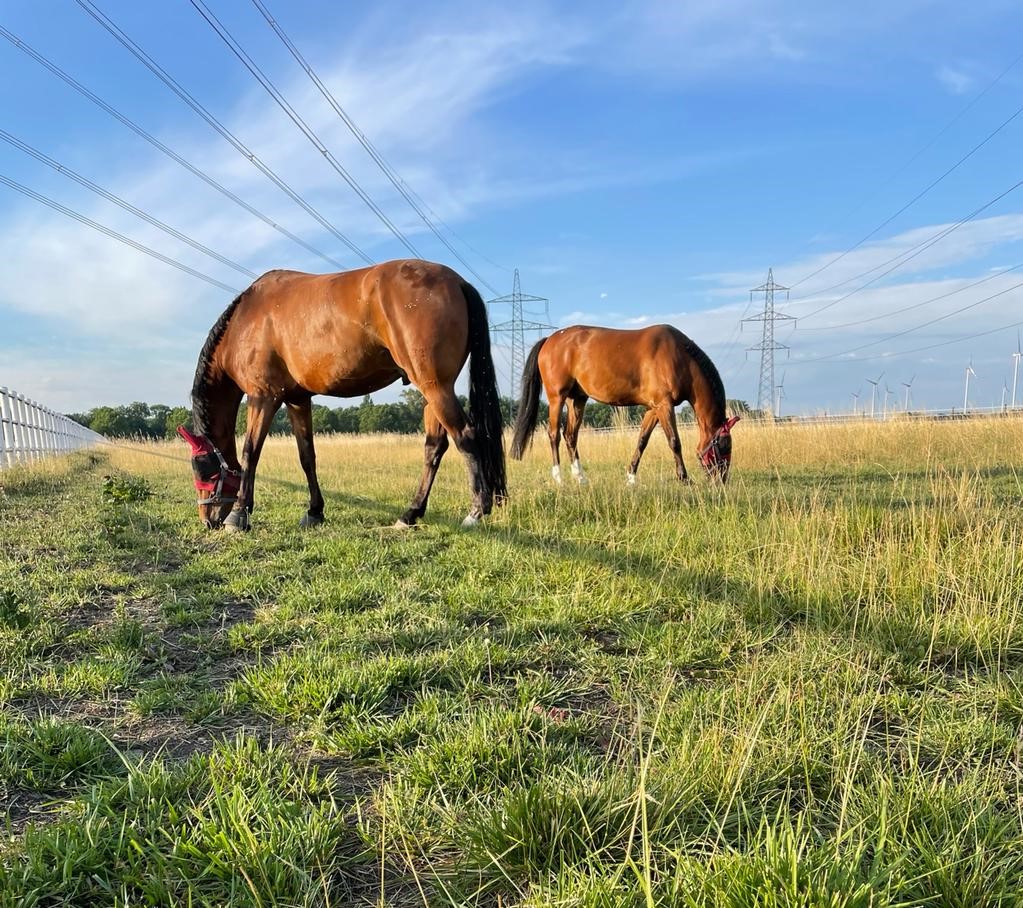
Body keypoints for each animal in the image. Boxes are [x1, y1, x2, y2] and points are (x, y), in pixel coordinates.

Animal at [177, 260, 506, 531]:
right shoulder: (297, 399)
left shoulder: (263, 397)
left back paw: (476, 511)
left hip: (436, 386)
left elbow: (250, 453)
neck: (246, 319)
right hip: (432, 392)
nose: (208, 520)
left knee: (466, 436)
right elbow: (307, 456)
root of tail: (458, 282)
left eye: (205, 472)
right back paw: (410, 514)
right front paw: (314, 511)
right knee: (434, 447)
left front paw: (239, 515)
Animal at [510, 324, 738, 484]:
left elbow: (642, 440)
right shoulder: (664, 405)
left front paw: (630, 477)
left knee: (570, 436)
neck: (679, 357)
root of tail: (550, 339)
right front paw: (684, 478)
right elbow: (674, 441)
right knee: (554, 435)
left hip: (578, 399)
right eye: (724, 445)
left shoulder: (653, 408)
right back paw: (559, 478)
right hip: (557, 398)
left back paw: (580, 478)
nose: (721, 480)